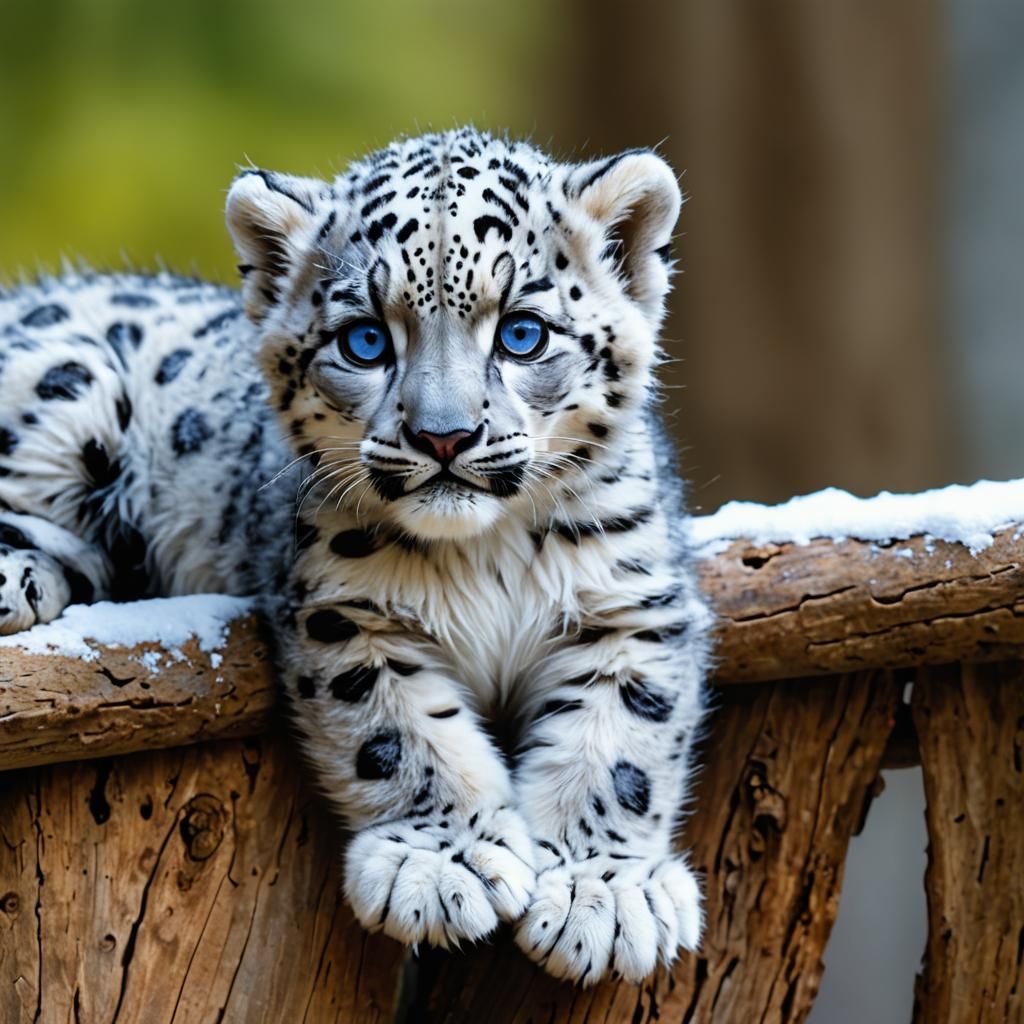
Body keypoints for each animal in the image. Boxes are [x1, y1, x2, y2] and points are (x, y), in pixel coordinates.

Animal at [0, 127, 712, 986]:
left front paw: (600, 892)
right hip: (68, 381)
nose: (445, 436)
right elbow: (396, 730)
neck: (488, 554)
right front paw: (445, 867)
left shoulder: (631, 604)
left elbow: (622, 743)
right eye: (366, 340)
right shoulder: (342, 607)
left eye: (523, 332)